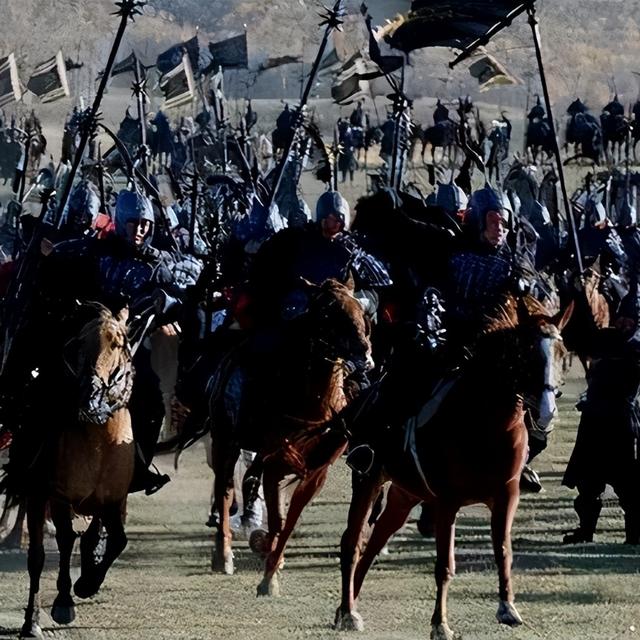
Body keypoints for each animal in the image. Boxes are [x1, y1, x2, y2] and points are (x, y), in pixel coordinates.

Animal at [4, 303, 134, 639]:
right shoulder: (59, 496)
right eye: (77, 344)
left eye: (117, 343)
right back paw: (35, 619)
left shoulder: (113, 499)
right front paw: (64, 602)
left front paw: (88, 583)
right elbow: (62, 542)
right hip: (39, 496)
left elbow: (117, 540)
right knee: (40, 554)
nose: (90, 395)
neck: (100, 438)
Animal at [208, 277, 372, 593]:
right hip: (225, 440)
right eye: (328, 313)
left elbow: (289, 518)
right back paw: (223, 555)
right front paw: (268, 571)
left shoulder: (315, 471)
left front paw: (272, 562)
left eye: (360, 309)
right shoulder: (275, 461)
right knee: (224, 490)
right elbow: (278, 518)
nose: (364, 352)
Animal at [333, 294, 573, 639]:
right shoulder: (447, 503)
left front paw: (507, 607)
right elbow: (444, 565)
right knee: (352, 543)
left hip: (406, 493)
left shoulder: (506, 497)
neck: (485, 421)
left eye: (561, 353)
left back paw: (349, 604)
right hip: (368, 479)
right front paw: (440, 623)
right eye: (526, 353)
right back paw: (348, 612)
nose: (546, 412)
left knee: (376, 539)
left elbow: (503, 550)